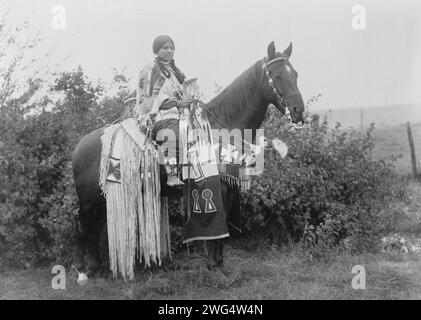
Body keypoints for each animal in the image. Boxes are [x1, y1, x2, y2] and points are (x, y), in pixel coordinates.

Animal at [70, 42, 304, 282]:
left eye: (295, 74)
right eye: (277, 75)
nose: (298, 111)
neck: (222, 129)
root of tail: (80, 146)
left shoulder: (229, 189)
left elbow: (225, 228)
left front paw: (220, 265)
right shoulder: (217, 188)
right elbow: (217, 229)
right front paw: (213, 265)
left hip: (101, 196)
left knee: (94, 228)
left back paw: (94, 267)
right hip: (88, 199)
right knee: (83, 227)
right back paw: (82, 271)